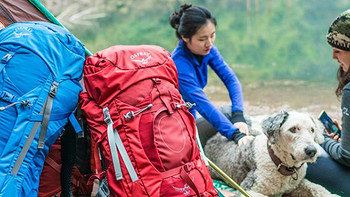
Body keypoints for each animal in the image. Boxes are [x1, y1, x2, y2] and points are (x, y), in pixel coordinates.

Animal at [205, 111, 340, 196]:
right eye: (293, 129)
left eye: (312, 130)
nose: (312, 151)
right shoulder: (247, 189)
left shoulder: (297, 185)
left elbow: (317, 188)